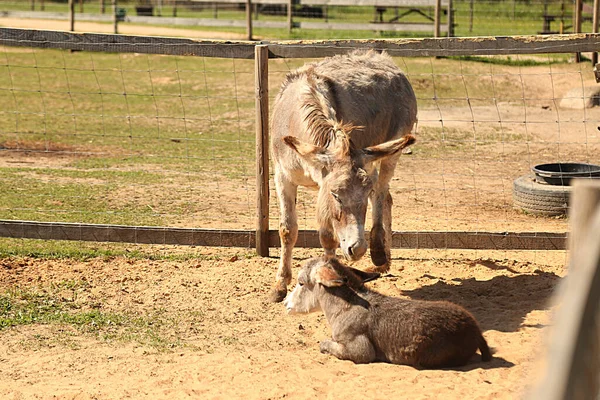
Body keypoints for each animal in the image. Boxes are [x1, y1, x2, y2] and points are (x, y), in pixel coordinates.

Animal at [286, 256, 492, 368]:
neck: (345, 307)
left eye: (301, 283)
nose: (286, 304)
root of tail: (475, 330)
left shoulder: (361, 350)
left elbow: (324, 344)